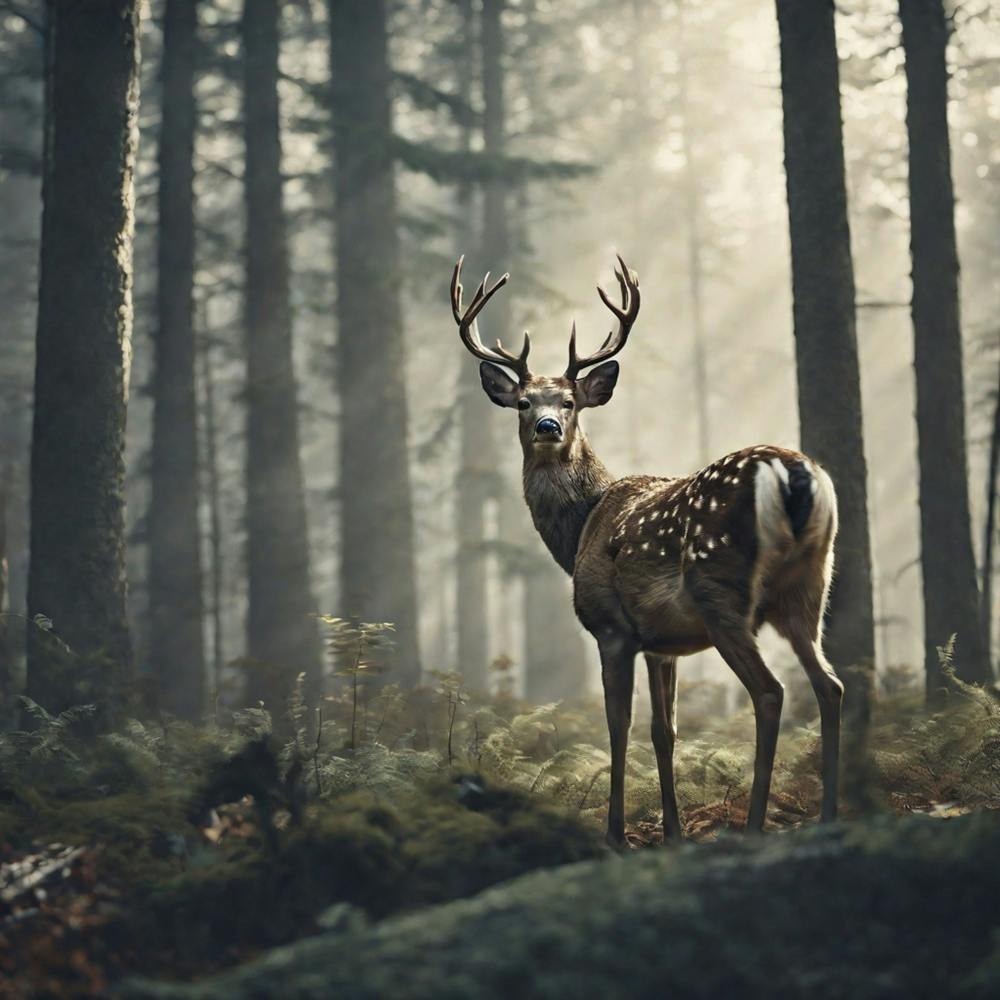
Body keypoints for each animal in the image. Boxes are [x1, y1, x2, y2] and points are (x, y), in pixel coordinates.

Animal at [450, 255, 844, 848]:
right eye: (523, 402)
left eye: (569, 401)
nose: (547, 425)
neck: (581, 529)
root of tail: (793, 474)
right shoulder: (664, 644)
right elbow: (665, 730)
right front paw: (674, 832)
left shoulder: (611, 627)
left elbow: (618, 727)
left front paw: (615, 834)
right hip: (810, 584)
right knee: (831, 685)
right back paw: (834, 814)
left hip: (720, 588)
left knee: (771, 692)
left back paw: (754, 826)